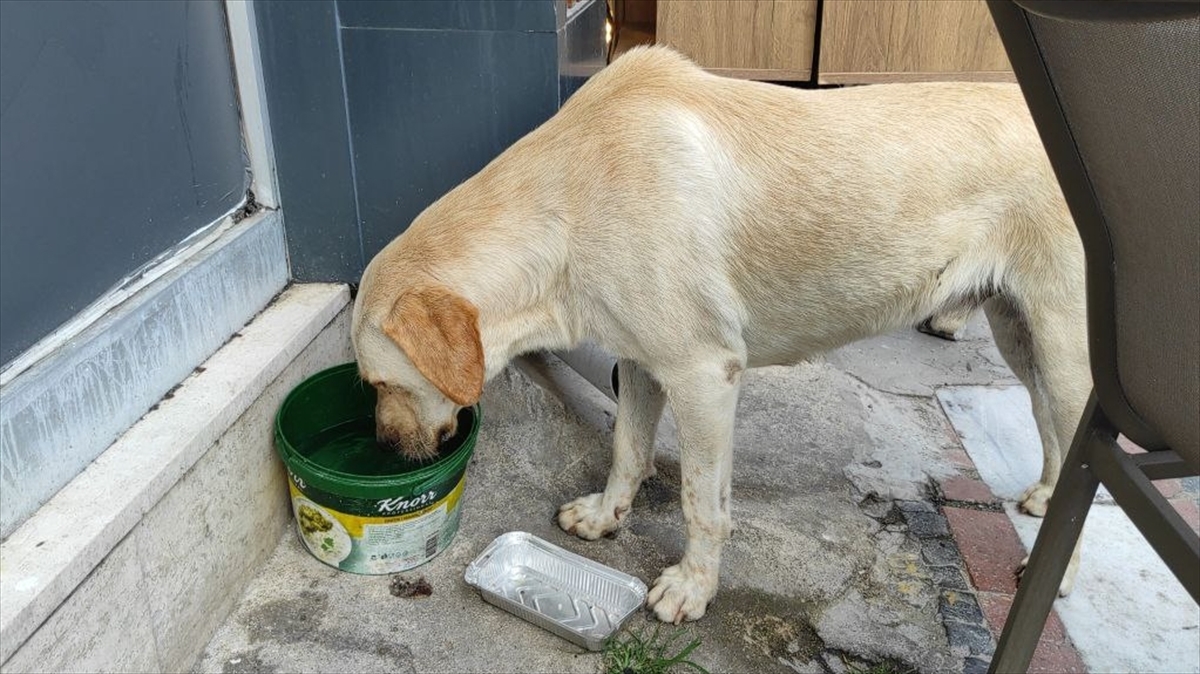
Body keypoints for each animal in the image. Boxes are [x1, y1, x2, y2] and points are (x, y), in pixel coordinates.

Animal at [352, 46, 1090, 623]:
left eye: (381, 382)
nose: (382, 446)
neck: (566, 204)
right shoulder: (641, 362)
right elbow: (626, 450)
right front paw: (607, 515)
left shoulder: (704, 376)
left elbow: (699, 503)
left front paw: (692, 589)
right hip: (1019, 336)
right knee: (1051, 429)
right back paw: (1044, 496)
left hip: (1064, 349)